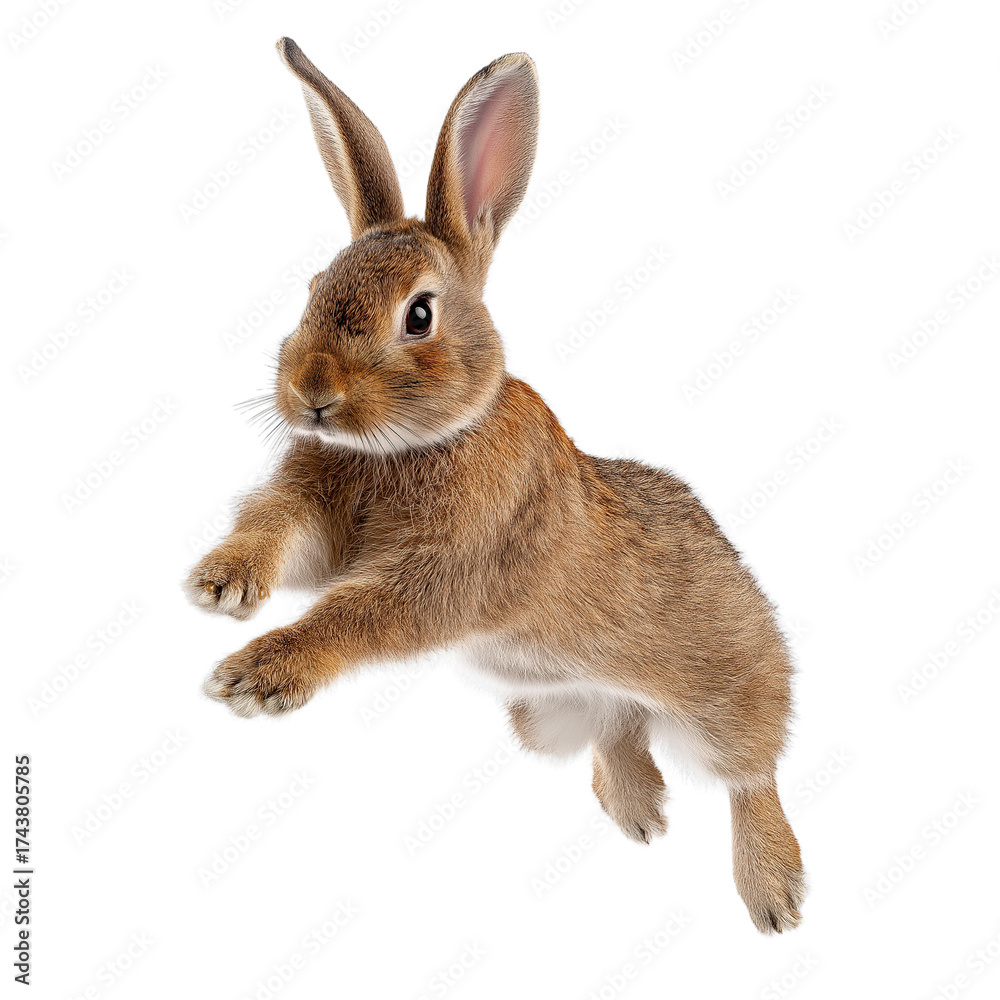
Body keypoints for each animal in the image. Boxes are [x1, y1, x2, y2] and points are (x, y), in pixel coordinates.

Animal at [185, 37, 806, 934]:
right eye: (311, 291)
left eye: (418, 315)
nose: (311, 392)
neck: (409, 444)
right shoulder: (314, 513)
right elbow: (277, 530)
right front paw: (221, 581)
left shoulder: (447, 570)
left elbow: (354, 613)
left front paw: (256, 676)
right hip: (555, 709)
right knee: (618, 727)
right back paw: (640, 814)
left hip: (726, 693)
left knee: (751, 772)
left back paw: (775, 893)